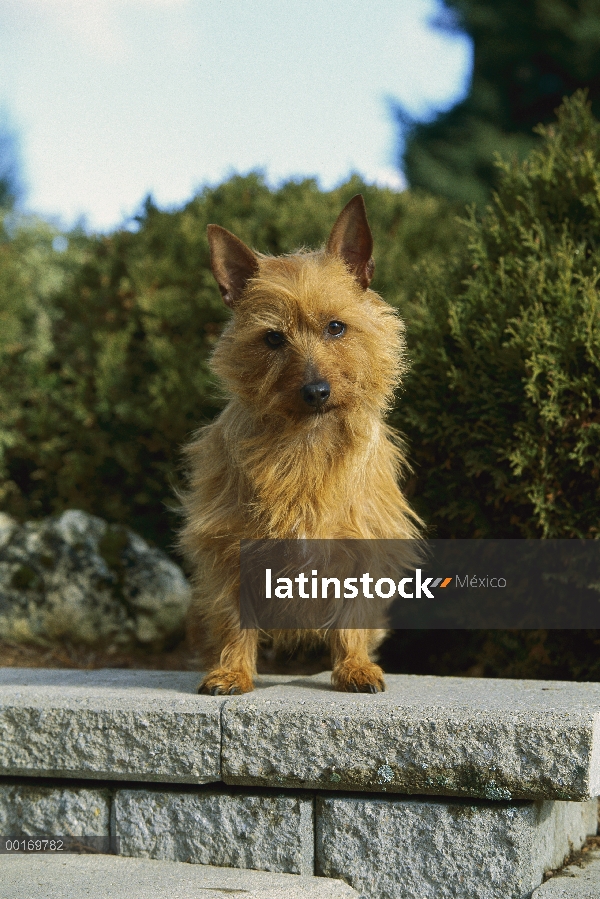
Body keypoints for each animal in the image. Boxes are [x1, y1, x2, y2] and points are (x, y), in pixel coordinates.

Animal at [179, 195, 418, 696]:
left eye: (336, 327)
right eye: (273, 338)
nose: (316, 391)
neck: (306, 441)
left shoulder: (362, 545)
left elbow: (352, 618)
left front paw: (354, 667)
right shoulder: (229, 549)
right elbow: (233, 618)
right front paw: (232, 671)